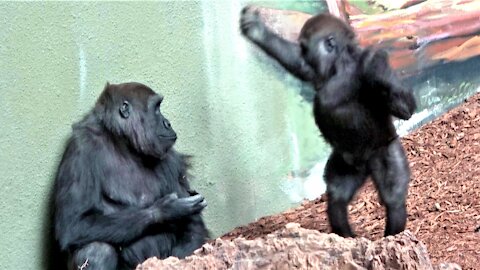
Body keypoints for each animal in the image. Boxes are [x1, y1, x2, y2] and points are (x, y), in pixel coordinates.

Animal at [53, 83, 209, 270]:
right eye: (156, 109)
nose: (168, 123)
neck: (123, 143)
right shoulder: (81, 147)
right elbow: (73, 222)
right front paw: (165, 210)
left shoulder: (170, 157)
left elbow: (193, 228)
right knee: (97, 249)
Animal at [240, 7, 416, 237]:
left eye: (305, 48)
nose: (305, 54)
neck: (340, 65)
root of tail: (364, 164)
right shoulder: (315, 71)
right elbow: (297, 65)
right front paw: (257, 31)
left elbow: (404, 108)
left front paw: (378, 67)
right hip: (346, 160)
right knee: (338, 197)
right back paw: (347, 236)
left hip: (384, 148)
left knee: (393, 197)